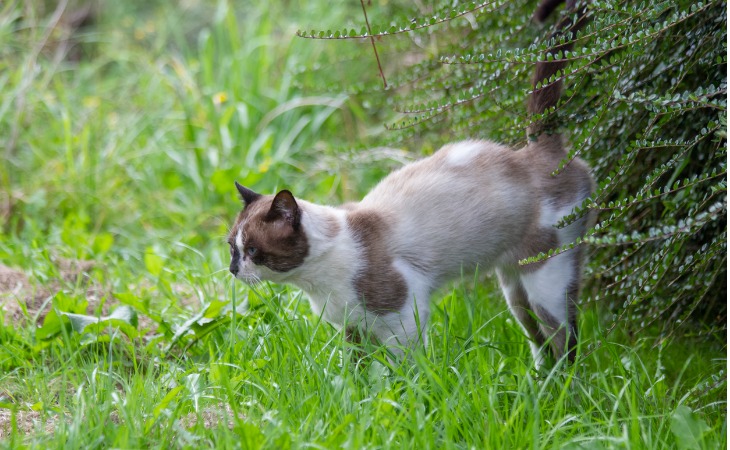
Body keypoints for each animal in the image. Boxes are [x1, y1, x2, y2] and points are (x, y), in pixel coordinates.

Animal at [226, 0, 592, 366]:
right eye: (232, 248)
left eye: (254, 251)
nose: (232, 270)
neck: (316, 281)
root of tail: (538, 148)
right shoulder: (353, 328)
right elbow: (359, 373)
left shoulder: (403, 315)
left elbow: (406, 372)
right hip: (513, 288)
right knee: (537, 339)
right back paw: (539, 379)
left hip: (546, 279)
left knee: (565, 339)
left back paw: (563, 381)